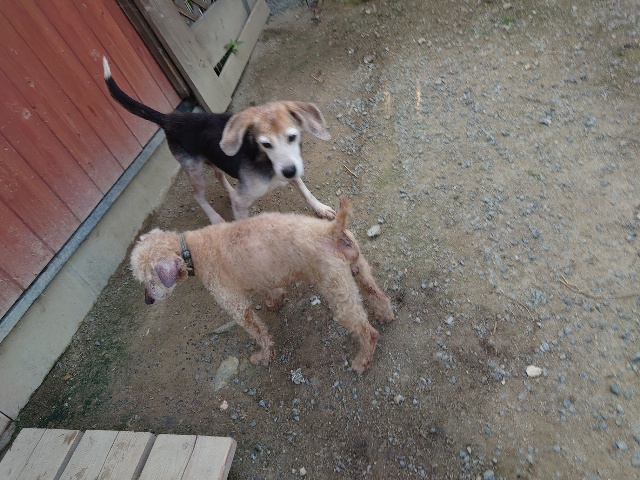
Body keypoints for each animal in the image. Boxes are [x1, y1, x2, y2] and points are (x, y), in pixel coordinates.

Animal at [103, 57, 335, 224]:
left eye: (292, 137)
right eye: (266, 144)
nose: (288, 171)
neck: (267, 164)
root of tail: (170, 118)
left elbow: (306, 191)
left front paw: (320, 208)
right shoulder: (243, 203)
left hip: (213, 159)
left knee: (219, 177)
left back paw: (230, 192)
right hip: (194, 170)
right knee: (198, 196)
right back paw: (215, 218)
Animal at [130, 197, 394, 372]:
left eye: (150, 280)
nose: (147, 300)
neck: (191, 251)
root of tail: (332, 229)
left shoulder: (237, 306)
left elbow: (259, 333)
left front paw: (264, 356)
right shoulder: (266, 275)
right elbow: (272, 289)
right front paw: (274, 301)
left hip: (337, 291)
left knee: (368, 332)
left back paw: (361, 361)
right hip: (358, 269)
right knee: (379, 295)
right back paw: (385, 315)